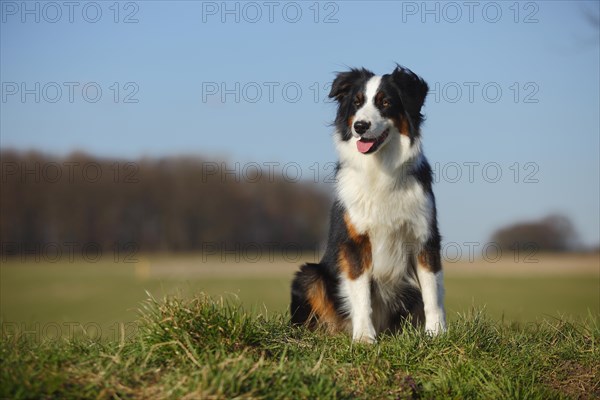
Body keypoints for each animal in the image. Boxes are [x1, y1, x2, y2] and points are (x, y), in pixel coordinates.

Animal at [290, 65, 446, 344]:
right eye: (357, 102)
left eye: (385, 102)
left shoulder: (424, 237)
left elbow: (432, 291)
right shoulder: (355, 241)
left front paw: (436, 333)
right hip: (308, 275)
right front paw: (364, 337)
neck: (380, 168)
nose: (360, 126)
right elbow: (361, 294)